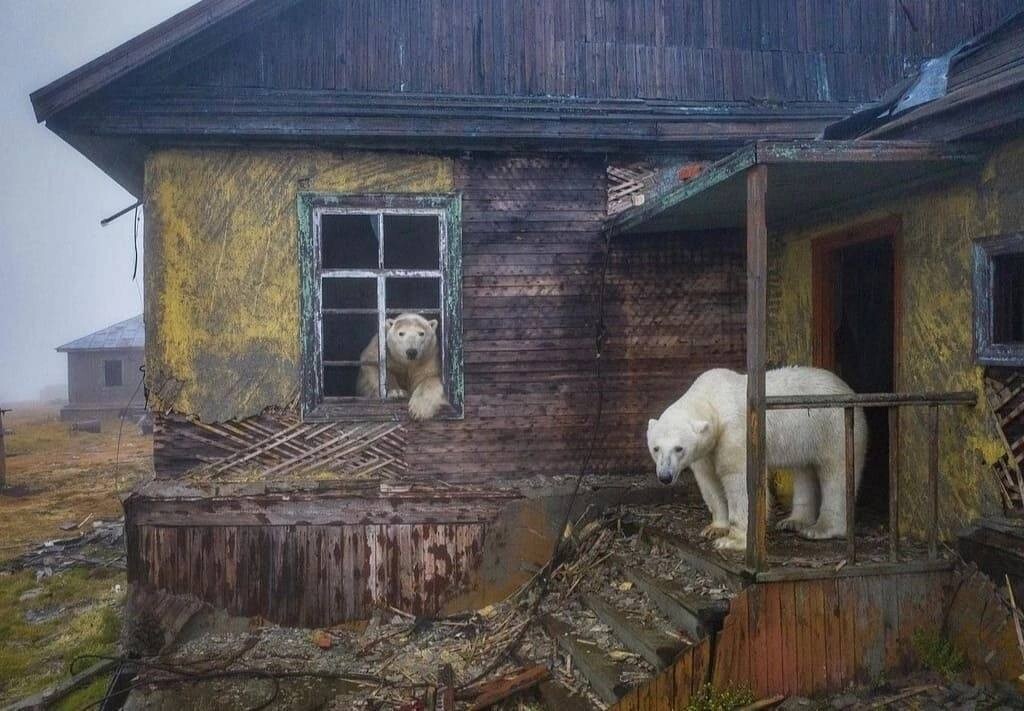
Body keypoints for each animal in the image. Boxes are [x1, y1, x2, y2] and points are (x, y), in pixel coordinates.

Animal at [646, 366, 867, 552]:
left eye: (679, 448)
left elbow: (740, 481)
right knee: (804, 471)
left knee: (836, 473)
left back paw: (821, 529)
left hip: (833, 426)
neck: (712, 399)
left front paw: (732, 540)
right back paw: (794, 521)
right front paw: (715, 528)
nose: (665, 476)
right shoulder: (706, 450)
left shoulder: (735, 433)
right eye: (656, 448)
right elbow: (709, 481)